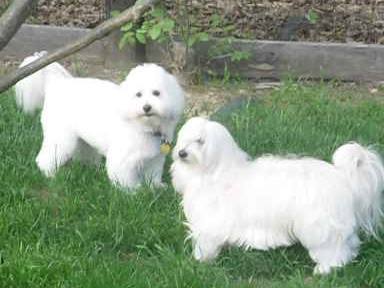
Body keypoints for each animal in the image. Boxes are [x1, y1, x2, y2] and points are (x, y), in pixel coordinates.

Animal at [17, 53, 185, 189]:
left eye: (156, 93)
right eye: (138, 94)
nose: (147, 107)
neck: (143, 126)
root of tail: (57, 83)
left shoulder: (154, 158)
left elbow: (153, 175)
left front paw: (156, 187)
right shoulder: (122, 158)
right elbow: (124, 179)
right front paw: (133, 192)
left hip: (80, 139)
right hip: (60, 137)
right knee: (45, 158)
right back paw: (49, 175)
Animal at [172, 117, 384, 274]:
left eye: (200, 141)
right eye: (184, 139)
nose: (181, 153)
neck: (213, 172)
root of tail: (342, 176)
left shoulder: (210, 224)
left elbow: (206, 244)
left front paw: (201, 261)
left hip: (320, 227)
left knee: (332, 250)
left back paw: (324, 269)